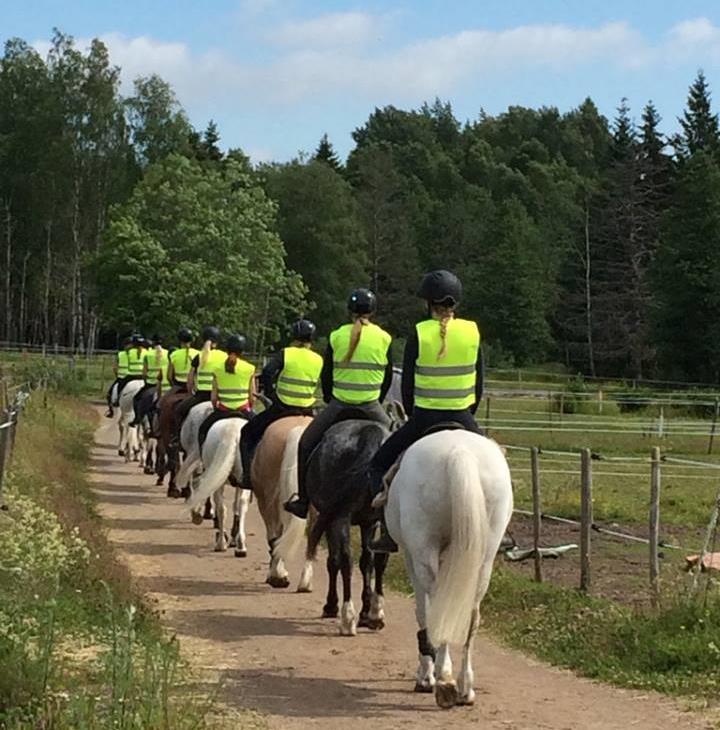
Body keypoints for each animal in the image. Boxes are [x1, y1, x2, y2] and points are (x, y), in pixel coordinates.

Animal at [184, 416, 252, 552]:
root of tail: (232, 430)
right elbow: (236, 505)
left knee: (222, 507)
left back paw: (223, 543)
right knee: (237, 505)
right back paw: (235, 544)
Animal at [300, 418, 390, 636]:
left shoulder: (332, 519)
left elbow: (334, 561)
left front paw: (331, 605)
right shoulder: (369, 522)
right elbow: (367, 561)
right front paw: (366, 613)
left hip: (341, 517)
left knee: (346, 560)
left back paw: (347, 617)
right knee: (380, 559)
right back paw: (376, 614)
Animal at [386, 430, 516, 708]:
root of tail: (459, 451)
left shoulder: (412, 557)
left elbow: (423, 613)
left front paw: (425, 676)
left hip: (424, 552)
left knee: (438, 608)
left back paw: (444, 679)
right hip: (484, 558)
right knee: (471, 616)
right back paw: (465, 688)